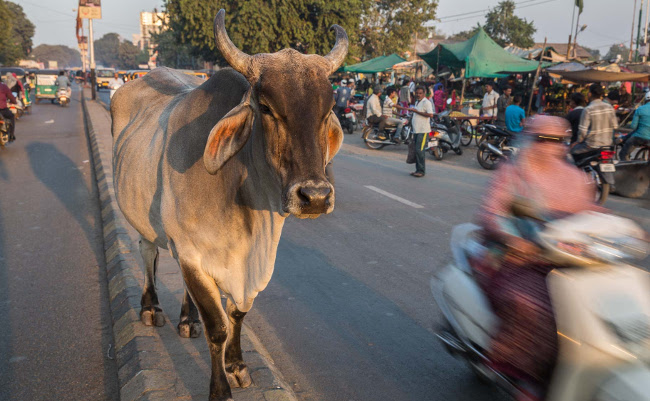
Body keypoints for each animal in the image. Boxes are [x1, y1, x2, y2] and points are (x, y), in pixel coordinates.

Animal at [110, 8, 346, 400]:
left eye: (328, 110)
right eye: (265, 107)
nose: (314, 196)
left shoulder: (245, 267)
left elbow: (237, 314)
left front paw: (237, 366)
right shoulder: (190, 253)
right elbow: (217, 327)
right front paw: (219, 389)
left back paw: (186, 320)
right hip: (143, 221)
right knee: (148, 253)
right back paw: (151, 308)